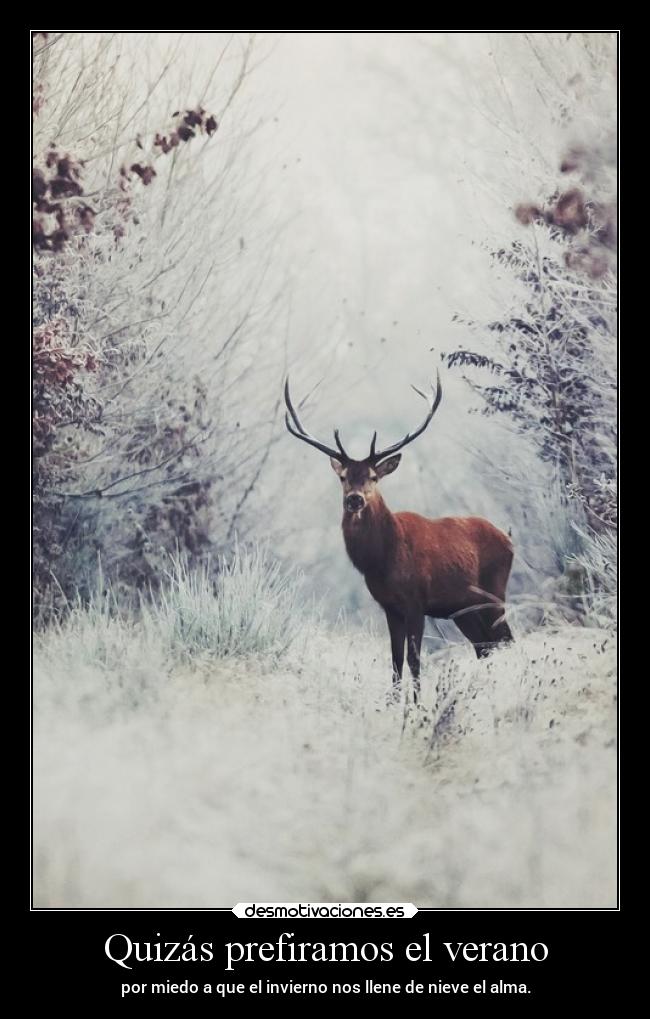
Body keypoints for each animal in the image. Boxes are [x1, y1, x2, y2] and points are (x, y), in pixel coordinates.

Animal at [283, 372, 513, 701]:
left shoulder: (416, 600)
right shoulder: (390, 607)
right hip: (463, 609)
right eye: (343, 477)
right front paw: (393, 703)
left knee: (505, 640)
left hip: (495, 592)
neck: (383, 560)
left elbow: (414, 660)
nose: (355, 499)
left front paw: (415, 705)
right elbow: (395, 660)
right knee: (486, 647)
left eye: (373, 477)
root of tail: (509, 539)